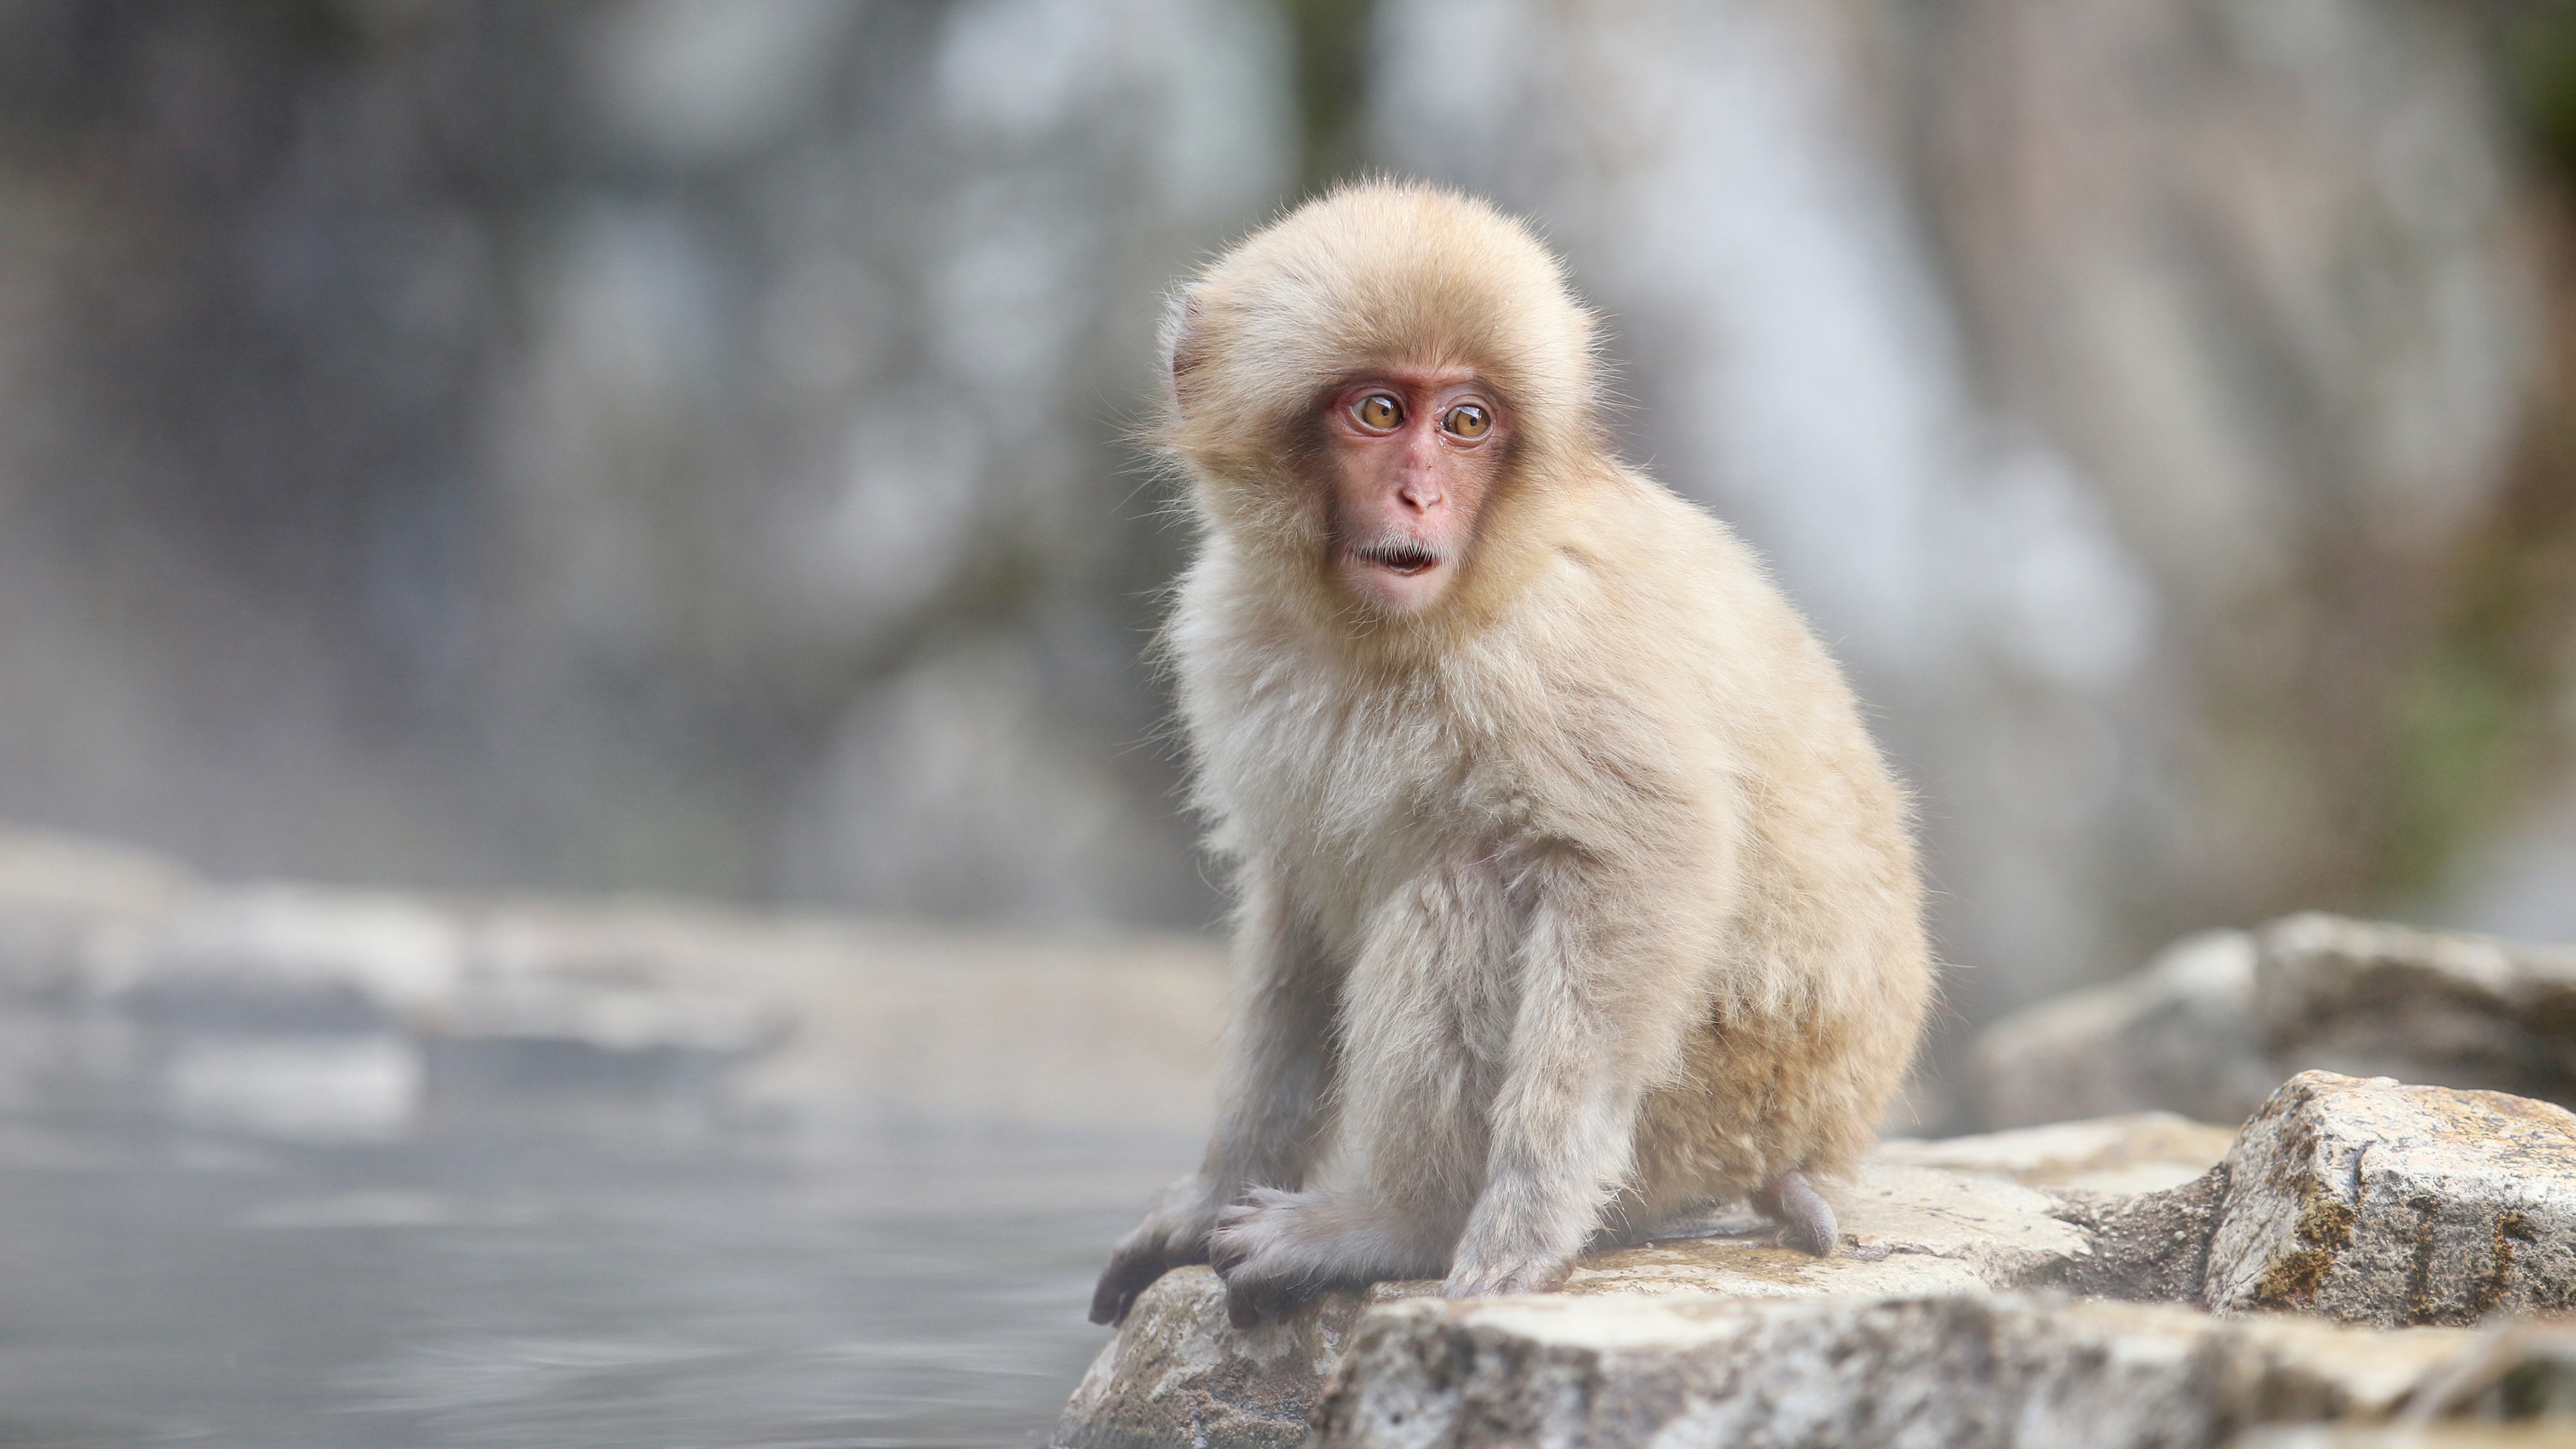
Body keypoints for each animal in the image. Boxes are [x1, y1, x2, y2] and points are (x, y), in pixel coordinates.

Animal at [1092, 180, 1937, 1320]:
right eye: (1380, 411)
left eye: (1467, 422)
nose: (1421, 497)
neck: (1394, 629)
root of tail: (1826, 1143)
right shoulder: (1231, 631)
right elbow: (1295, 897)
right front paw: (1211, 1191)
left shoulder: (1549, 648)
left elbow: (1644, 864)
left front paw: (1522, 1218)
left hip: (1710, 1107)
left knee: (1472, 886)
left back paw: (1403, 1222)